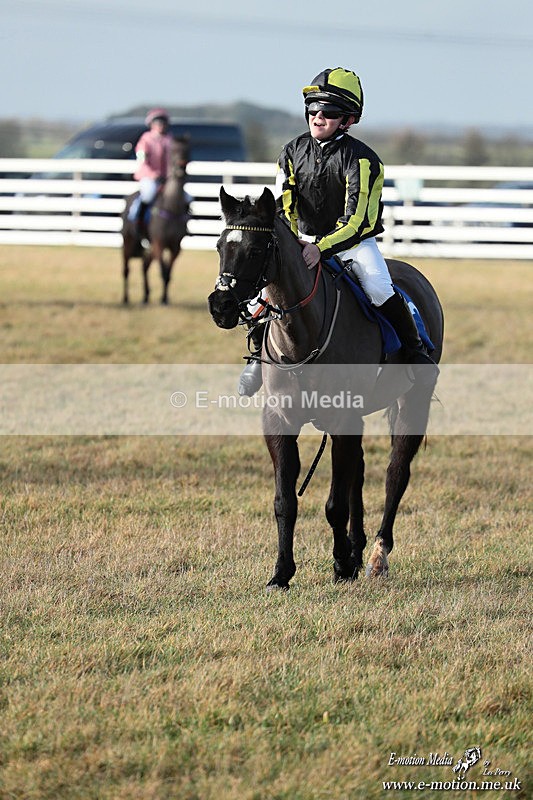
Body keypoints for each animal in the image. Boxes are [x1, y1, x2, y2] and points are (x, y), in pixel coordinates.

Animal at [121, 136, 190, 305]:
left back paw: (145, 297)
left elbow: (169, 274)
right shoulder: (159, 243)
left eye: (188, 150)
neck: (171, 207)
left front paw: (164, 298)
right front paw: (163, 300)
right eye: (172, 150)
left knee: (144, 266)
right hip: (128, 242)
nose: (181, 167)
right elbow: (163, 271)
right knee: (126, 270)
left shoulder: (175, 247)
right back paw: (125, 299)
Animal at [208, 186, 444, 591]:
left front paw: (341, 564)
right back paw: (358, 547)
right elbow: (285, 501)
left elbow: (335, 504)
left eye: (255, 250)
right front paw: (282, 573)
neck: (303, 335)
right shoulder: (279, 422)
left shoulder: (342, 419)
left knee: (396, 473)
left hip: (412, 402)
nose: (220, 305)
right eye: (222, 245)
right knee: (359, 471)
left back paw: (377, 555)